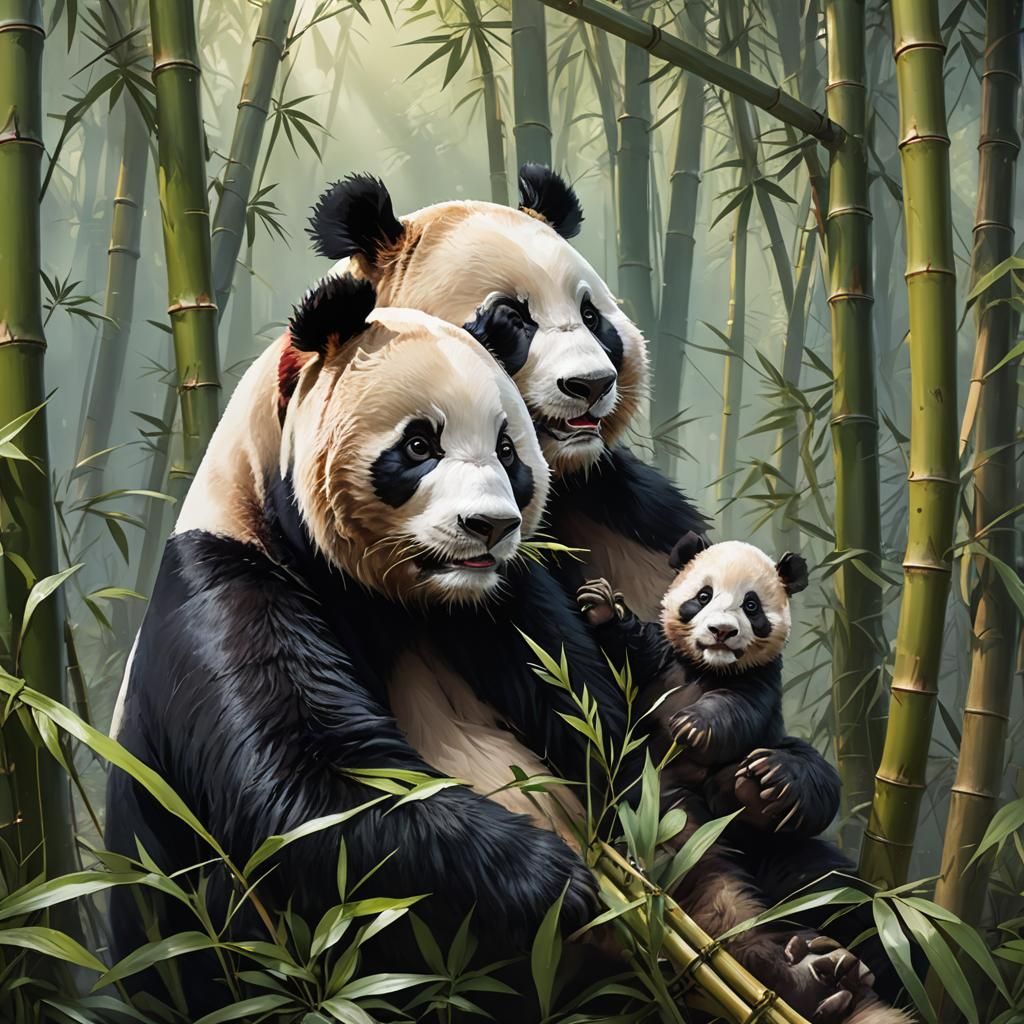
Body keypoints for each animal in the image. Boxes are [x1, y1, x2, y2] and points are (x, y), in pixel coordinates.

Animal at [106, 275, 633, 1013]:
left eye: (508, 451)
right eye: (418, 445)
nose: (490, 526)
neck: (393, 595)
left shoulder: (495, 602)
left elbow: (583, 709)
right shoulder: (227, 591)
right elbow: (316, 790)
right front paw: (561, 879)